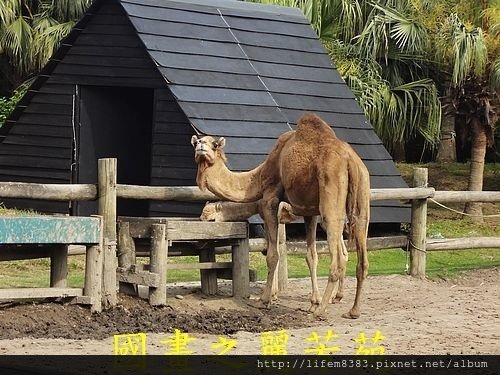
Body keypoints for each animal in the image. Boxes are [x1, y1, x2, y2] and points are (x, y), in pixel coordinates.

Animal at [191, 112, 372, 320]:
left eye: (214, 144)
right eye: (197, 142)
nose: (200, 145)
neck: (258, 177)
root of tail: (350, 160)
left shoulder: (270, 201)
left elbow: (272, 254)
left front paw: (266, 299)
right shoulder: (309, 212)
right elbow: (311, 256)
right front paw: (312, 301)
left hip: (331, 192)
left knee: (339, 257)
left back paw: (322, 310)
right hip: (362, 191)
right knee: (361, 253)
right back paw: (352, 310)